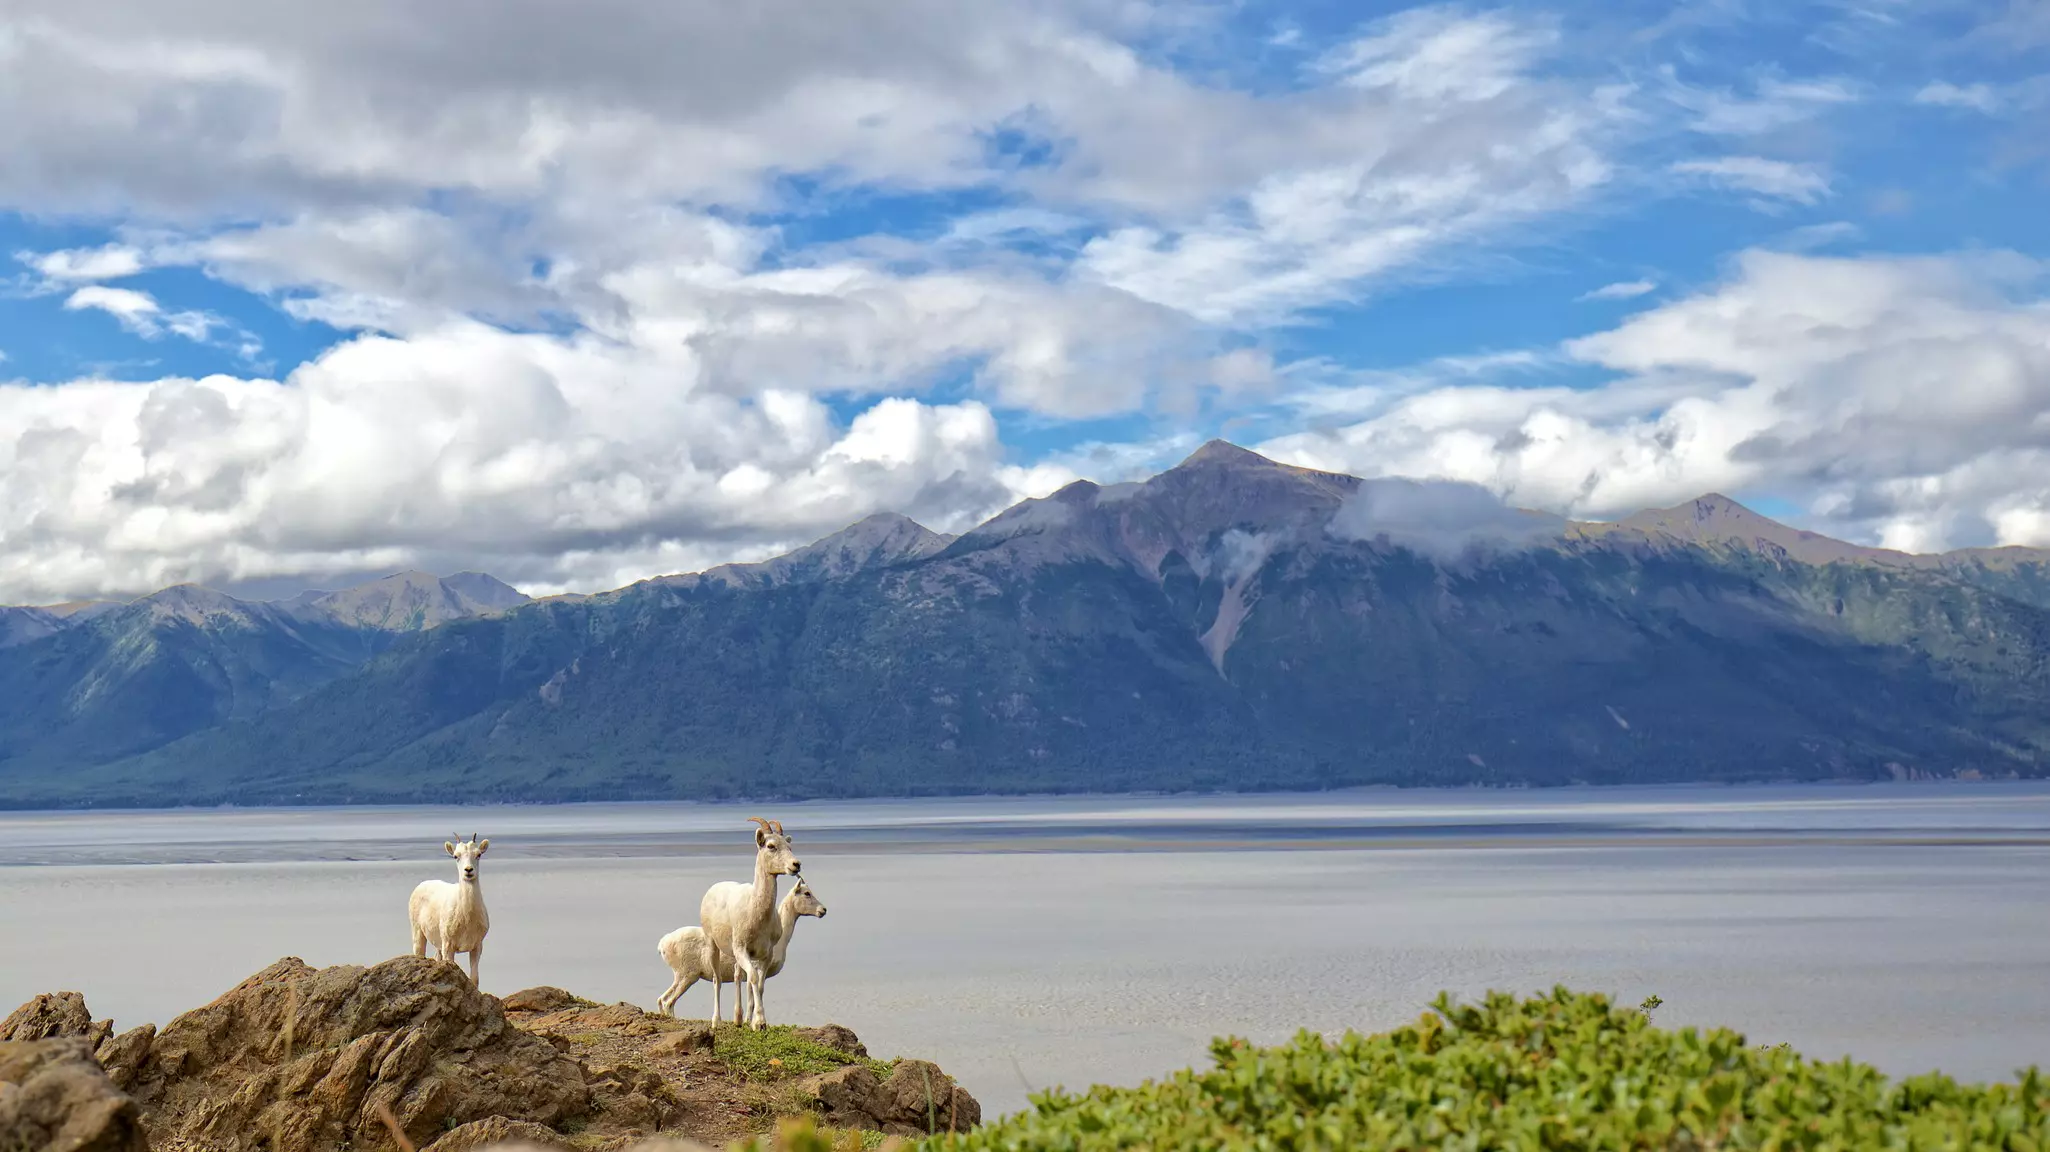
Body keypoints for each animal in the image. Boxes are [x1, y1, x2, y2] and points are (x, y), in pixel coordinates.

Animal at [409, 833, 491, 986]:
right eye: (455, 856)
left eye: (478, 855)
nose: (468, 870)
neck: (467, 918)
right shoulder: (448, 945)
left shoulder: (477, 946)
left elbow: (475, 978)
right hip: (417, 932)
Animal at [655, 879, 827, 1020]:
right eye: (807, 893)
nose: (823, 910)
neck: (781, 941)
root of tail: (662, 944)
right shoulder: (754, 970)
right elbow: (752, 1001)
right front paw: (748, 1022)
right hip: (687, 975)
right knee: (668, 1002)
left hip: (681, 976)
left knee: (662, 1000)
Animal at [698, 817, 802, 1030]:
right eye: (771, 846)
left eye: (789, 846)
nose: (796, 865)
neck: (756, 914)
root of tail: (713, 889)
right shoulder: (742, 949)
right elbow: (752, 978)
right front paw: (759, 1023)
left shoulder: (765, 953)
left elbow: (759, 985)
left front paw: (756, 1022)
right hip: (713, 945)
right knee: (717, 979)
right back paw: (716, 1021)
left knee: (737, 976)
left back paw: (738, 1019)